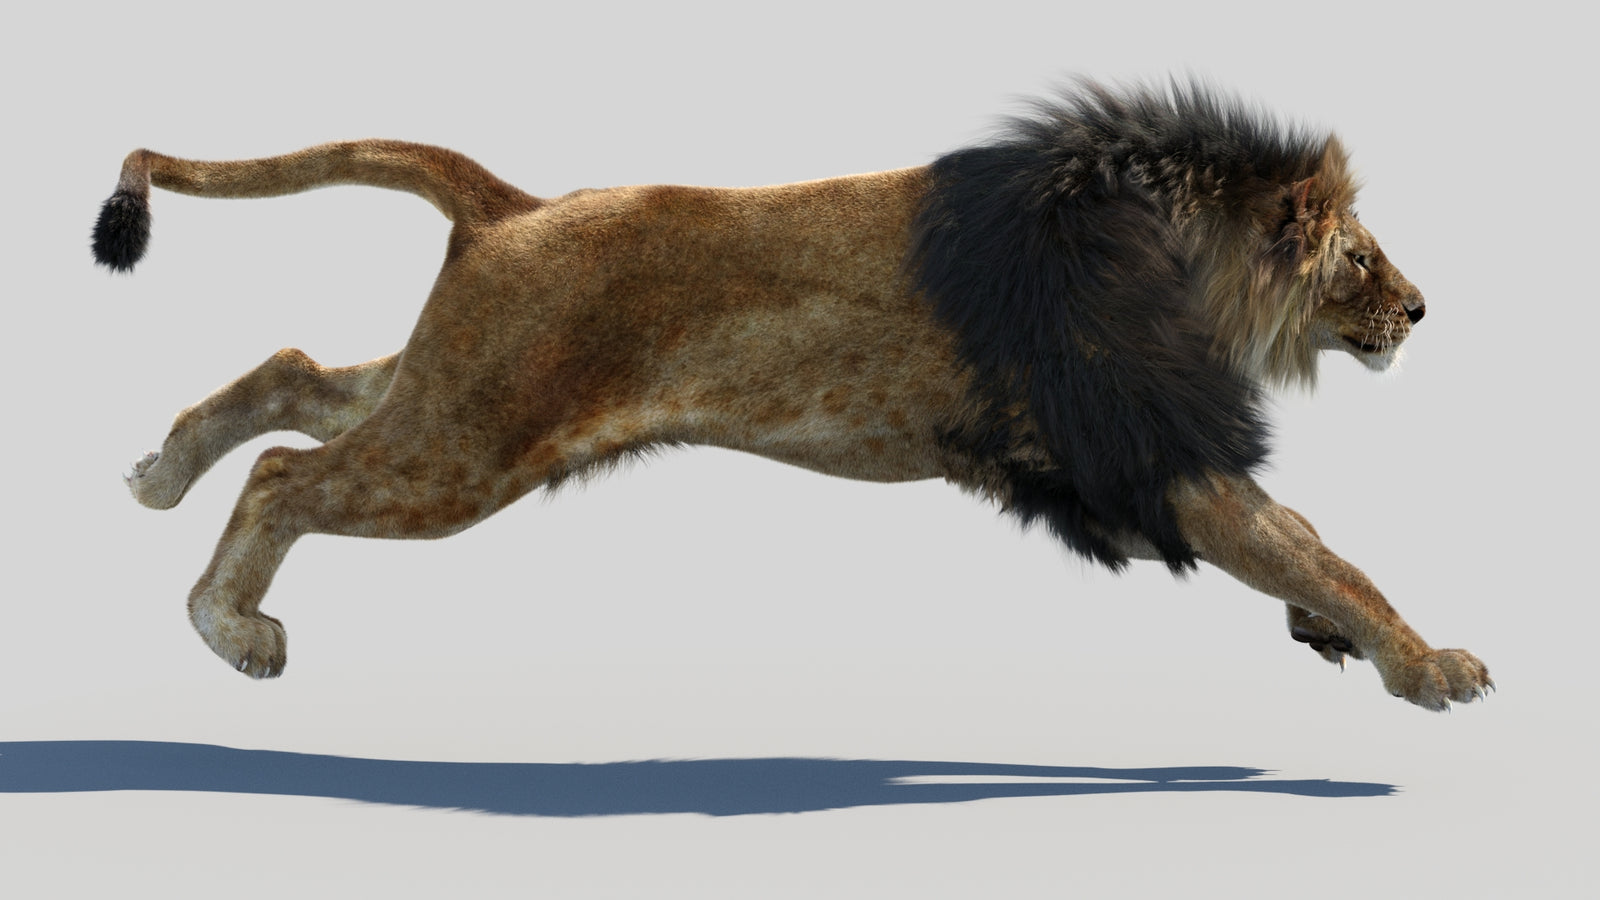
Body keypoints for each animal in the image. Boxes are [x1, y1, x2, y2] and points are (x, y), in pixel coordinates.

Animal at [92, 81, 1490, 710]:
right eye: (1360, 257)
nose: (1423, 311)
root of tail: (516, 206)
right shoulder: (1141, 447)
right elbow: (1317, 550)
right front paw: (1428, 665)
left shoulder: (1107, 461)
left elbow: (1296, 550)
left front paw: (1343, 643)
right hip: (467, 443)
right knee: (289, 474)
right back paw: (231, 626)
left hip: (453, 389)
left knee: (294, 377)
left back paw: (156, 476)